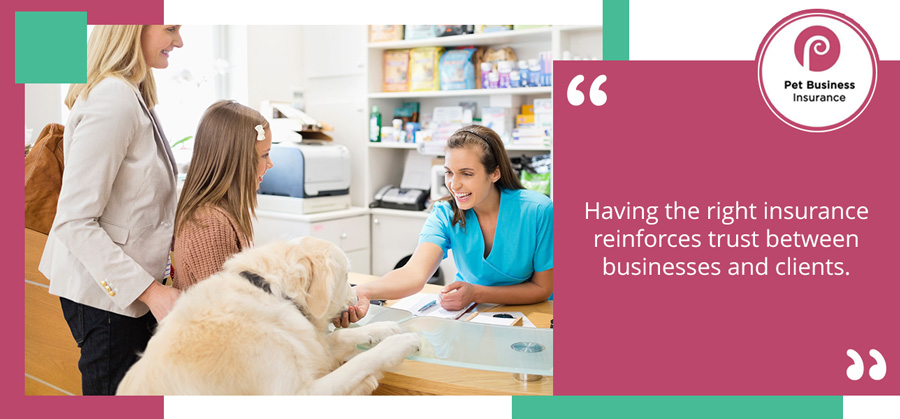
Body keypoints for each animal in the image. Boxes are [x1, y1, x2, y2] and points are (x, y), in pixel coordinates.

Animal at [116, 238, 422, 396]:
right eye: (347, 276)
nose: (358, 299)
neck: (271, 291)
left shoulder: (309, 344)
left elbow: (343, 337)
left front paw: (383, 329)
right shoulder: (300, 394)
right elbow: (361, 363)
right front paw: (400, 343)